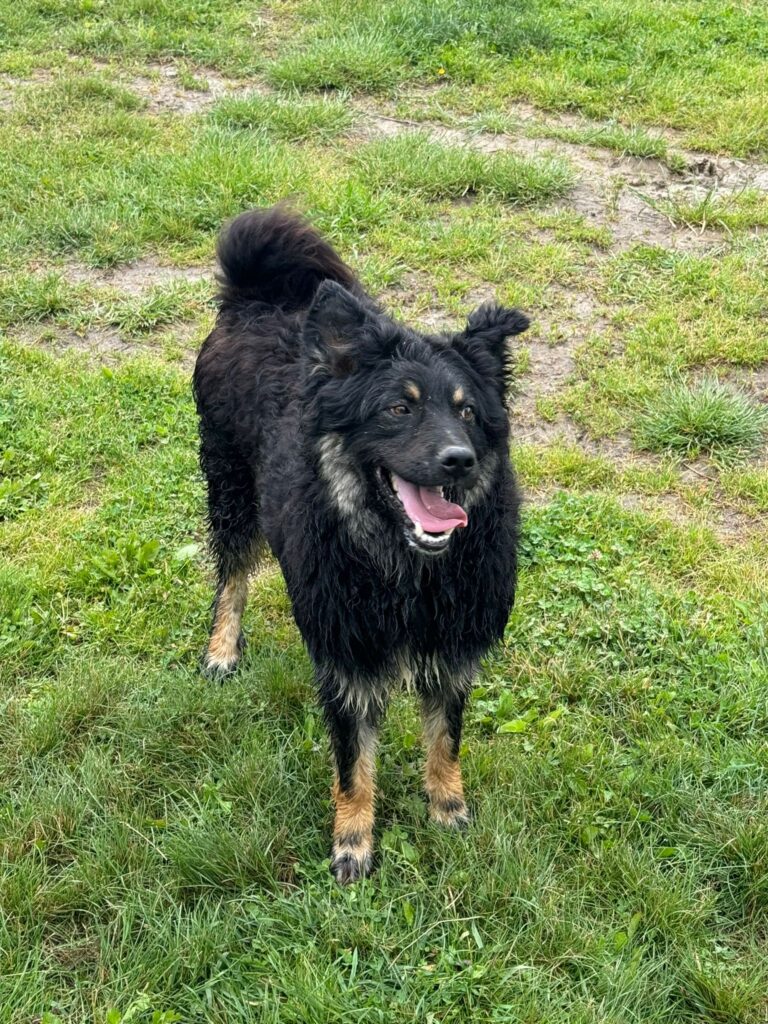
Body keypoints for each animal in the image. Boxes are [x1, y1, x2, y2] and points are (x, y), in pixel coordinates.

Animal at [193, 205, 528, 883]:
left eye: (469, 412)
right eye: (400, 408)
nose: (458, 460)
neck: (407, 570)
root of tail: (254, 302)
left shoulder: (452, 647)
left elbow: (445, 739)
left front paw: (447, 809)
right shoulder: (349, 660)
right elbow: (354, 764)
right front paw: (352, 842)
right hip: (228, 483)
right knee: (232, 575)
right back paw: (222, 648)